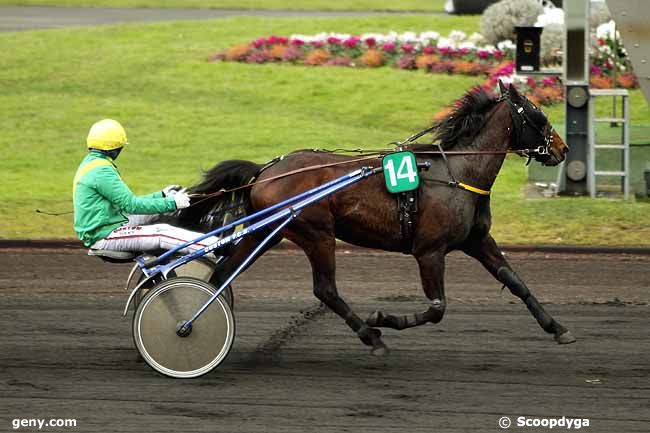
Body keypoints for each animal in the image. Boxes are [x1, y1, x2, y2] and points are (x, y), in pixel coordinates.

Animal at [167, 81, 572, 354]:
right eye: (539, 115)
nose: (563, 149)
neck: (457, 172)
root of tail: (265, 170)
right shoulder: (429, 251)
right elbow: (437, 309)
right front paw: (383, 319)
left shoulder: (476, 240)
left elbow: (515, 281)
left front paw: (557, 327)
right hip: (316, 234)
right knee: (325, 290)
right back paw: (371, 336)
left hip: (267, 232)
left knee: (222, 273)